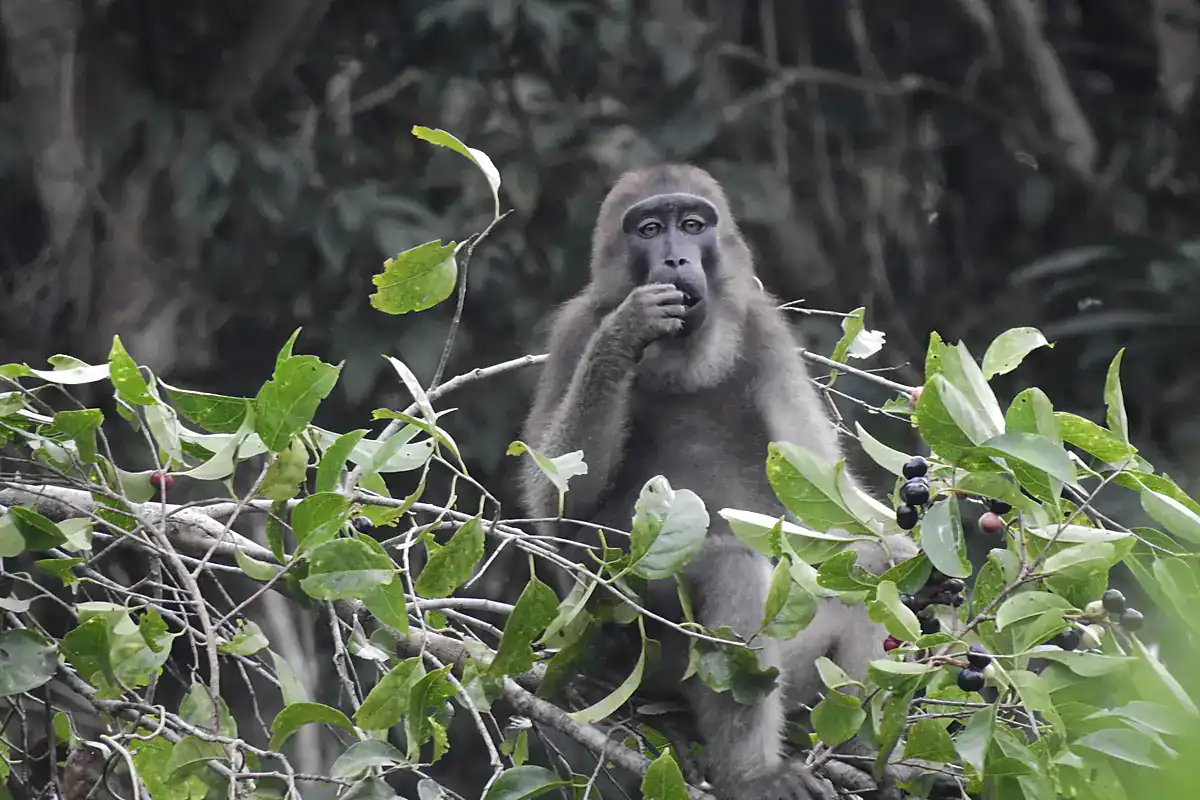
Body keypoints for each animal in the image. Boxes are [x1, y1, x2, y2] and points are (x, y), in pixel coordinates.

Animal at [518, 164, 919, 800]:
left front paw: (907, 549)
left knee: (864, 571)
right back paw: (752, 774)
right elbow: (556, 506)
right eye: (650, 229)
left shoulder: (765, 331)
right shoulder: (575, 329)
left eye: (691, 225)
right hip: (648, 657)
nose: (677, 259)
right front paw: (624, 334)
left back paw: (861, 759)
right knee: (731, 568)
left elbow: (827, 494)